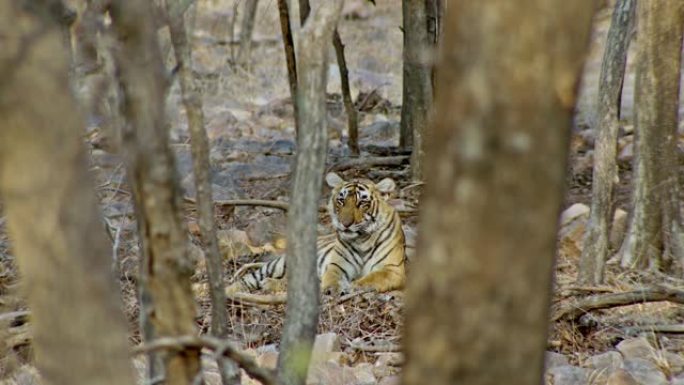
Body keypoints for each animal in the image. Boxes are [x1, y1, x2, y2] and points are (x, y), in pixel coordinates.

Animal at [224, 171, 406, 294]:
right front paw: (332, 289)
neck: (362, 239)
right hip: (278, 265)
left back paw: (269, 285)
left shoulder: (393, 269)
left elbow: (370, 279)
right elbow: (332, 276)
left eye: (362, 202)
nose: (345, 224)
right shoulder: (337, 264)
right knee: (249, 279)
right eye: (341, 200)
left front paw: (353, 286)